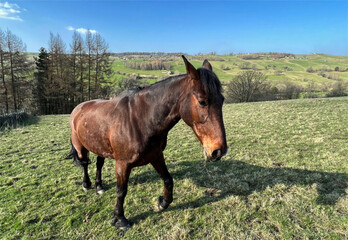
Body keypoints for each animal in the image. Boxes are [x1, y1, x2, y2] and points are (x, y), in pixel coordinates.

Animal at [66, 55, 227, 230]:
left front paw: (162, 203)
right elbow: (121, 190)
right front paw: (119, 219)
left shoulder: (156, 155)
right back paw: (86, 184)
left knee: (99, 164)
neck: (140, 119)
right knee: (84, 164)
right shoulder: (122, 164)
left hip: (100, 146)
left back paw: (99, 186)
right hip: (80, 146)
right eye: (202, 101)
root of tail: (78, 108)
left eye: (222, 100)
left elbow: (168, 179)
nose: (219, 151)